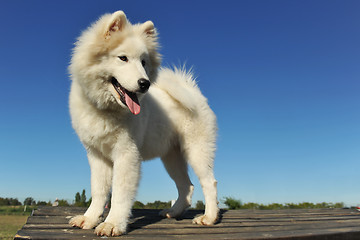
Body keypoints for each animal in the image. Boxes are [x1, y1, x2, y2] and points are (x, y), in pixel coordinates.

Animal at [68, 10, 218, 236]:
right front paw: (90, 218)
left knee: (209, 182)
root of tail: (193, 92)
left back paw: (209, 217)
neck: (106, 110)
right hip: (171, 157)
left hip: (197, 151)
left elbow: (120, 194)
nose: (145, 84)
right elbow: (99, 191)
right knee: (187, 186)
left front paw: (113, 224)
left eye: (144, 62)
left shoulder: (126, 154)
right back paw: (173, 212)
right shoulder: (97, 155)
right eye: (123, 58)